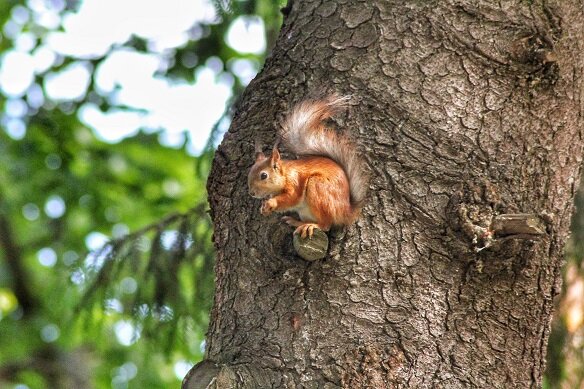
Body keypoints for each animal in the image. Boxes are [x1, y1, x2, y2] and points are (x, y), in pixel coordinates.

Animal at [248, 95, 368, 238]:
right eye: (249, 173)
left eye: (264, 175)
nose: (252, 193)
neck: (285, 174)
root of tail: (346, 211)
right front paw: (264, 208)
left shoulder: (294, 183)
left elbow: (291, 197)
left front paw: (271, 202)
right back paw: (297, 222)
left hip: (318, 188)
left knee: (326, 225)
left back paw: (310, 226)